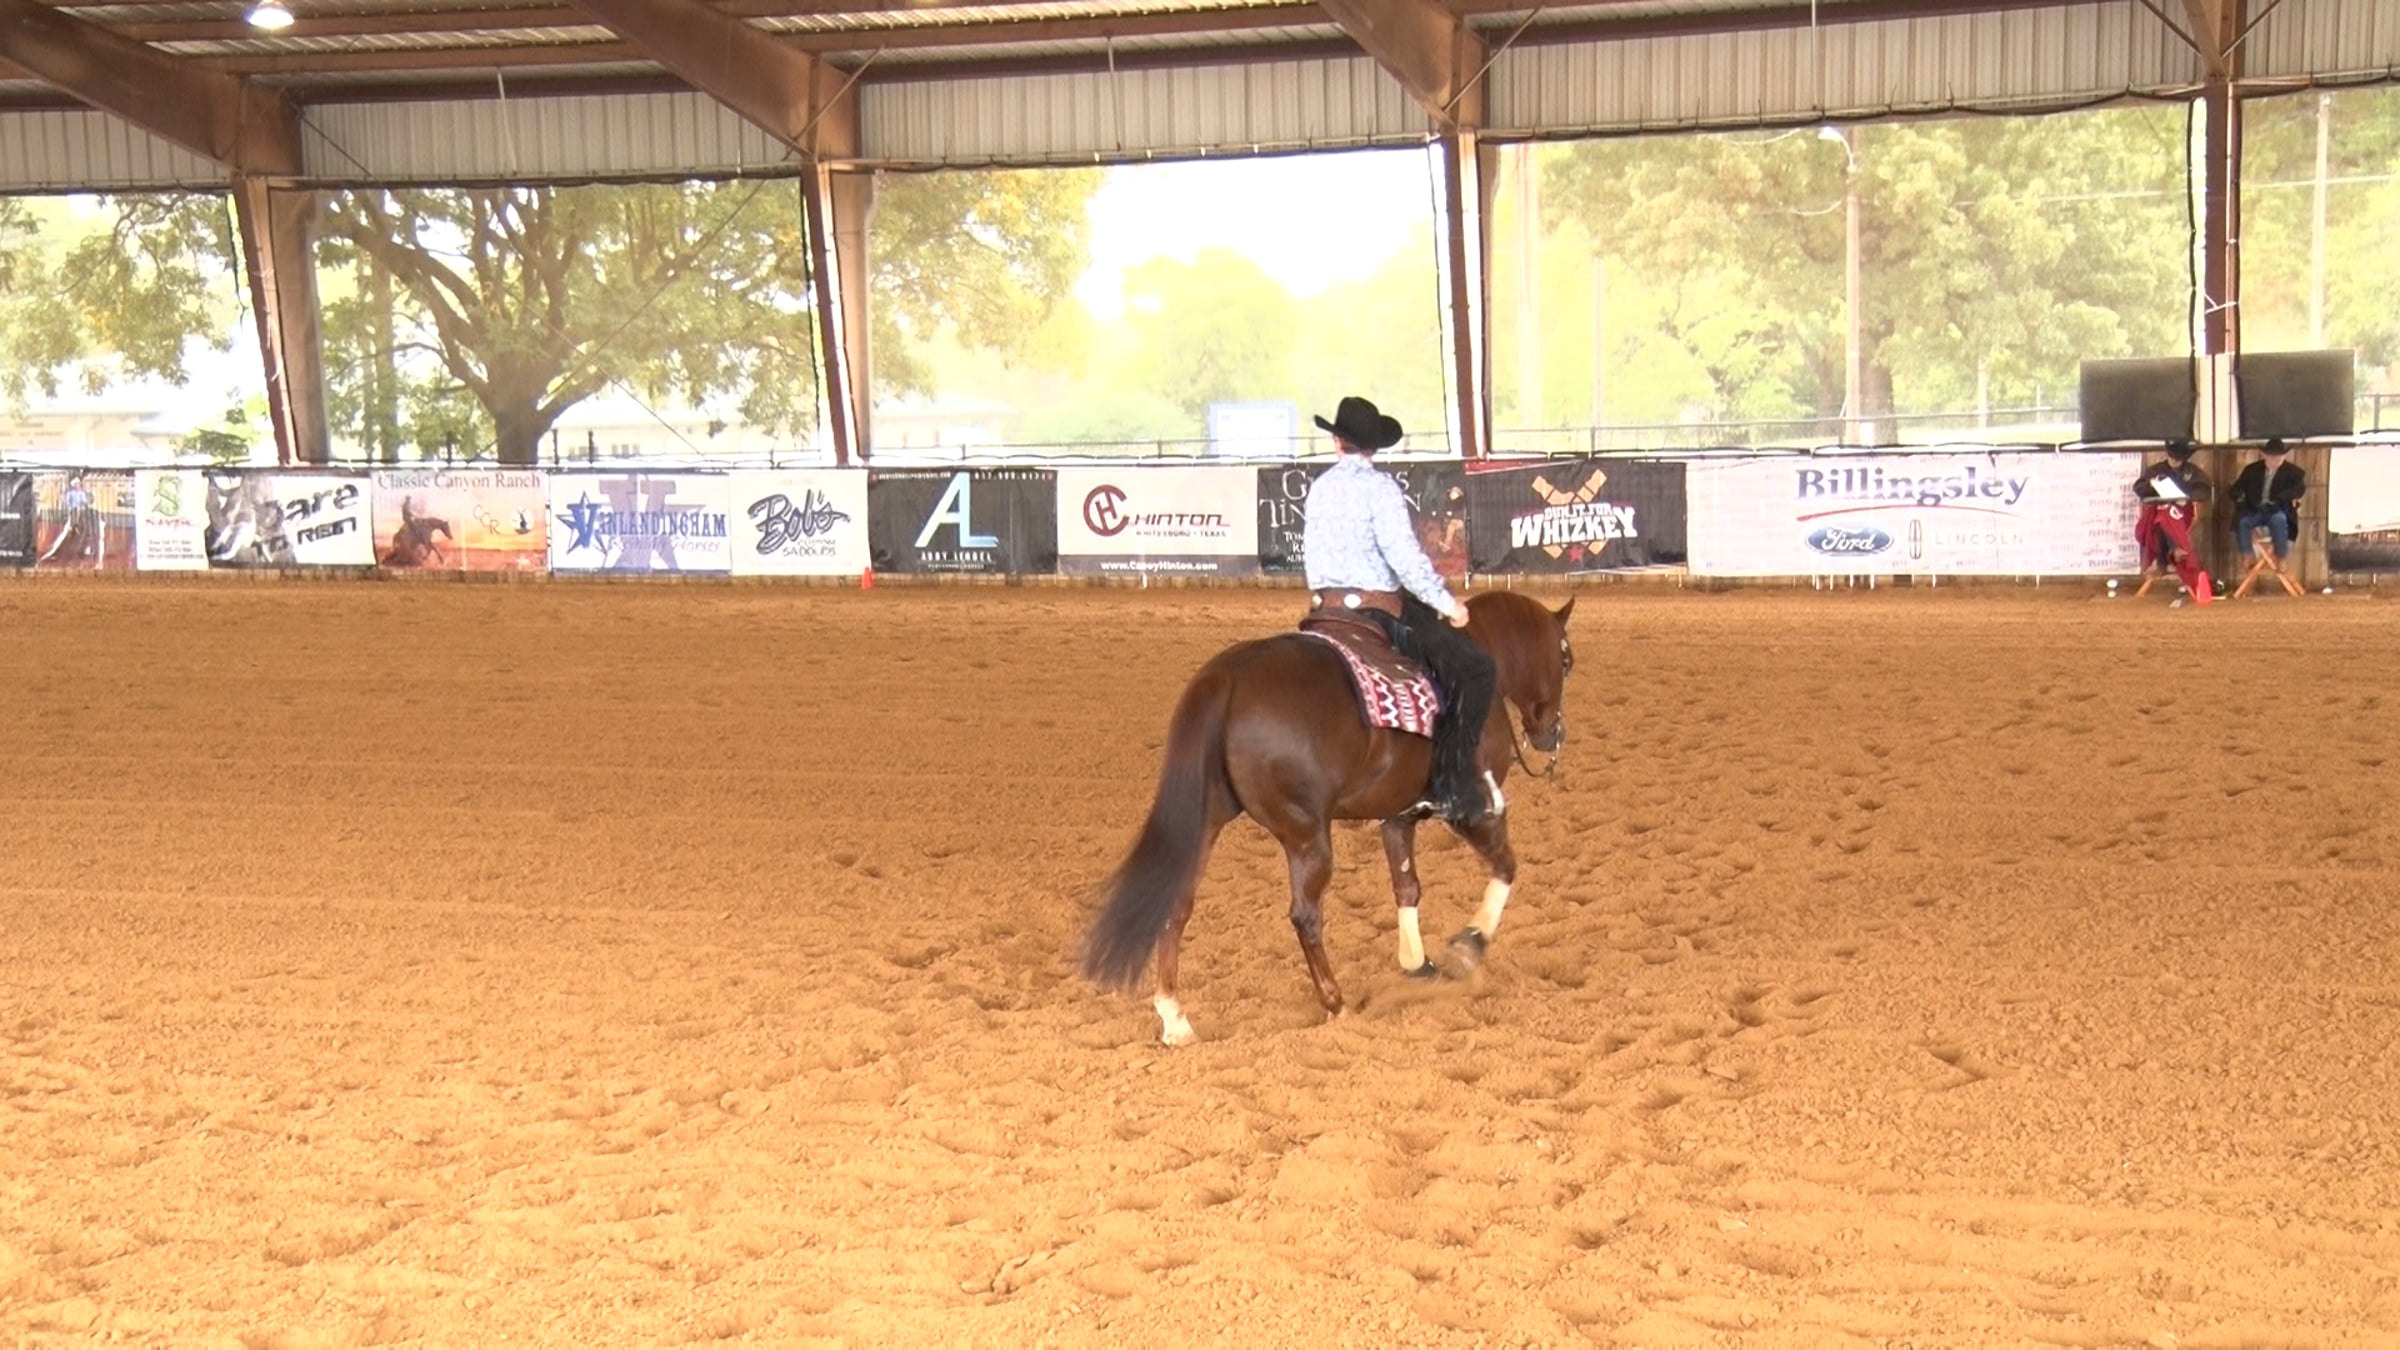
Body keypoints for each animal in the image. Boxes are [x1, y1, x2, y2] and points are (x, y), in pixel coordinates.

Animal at [1080, 590, 1577, 1045]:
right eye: (1566, 659)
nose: (1551, 735)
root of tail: (1227, 677)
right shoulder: (1475, 809)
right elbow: (1506, 866)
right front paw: (1469, 945)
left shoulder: (1398, 817)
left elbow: (1407, 887)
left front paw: (1418, 963)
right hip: (1306, 833)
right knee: (1306, 915)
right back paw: (1336, 1003)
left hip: (1206, 822)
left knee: (1177, 905)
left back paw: (1175, 1018)